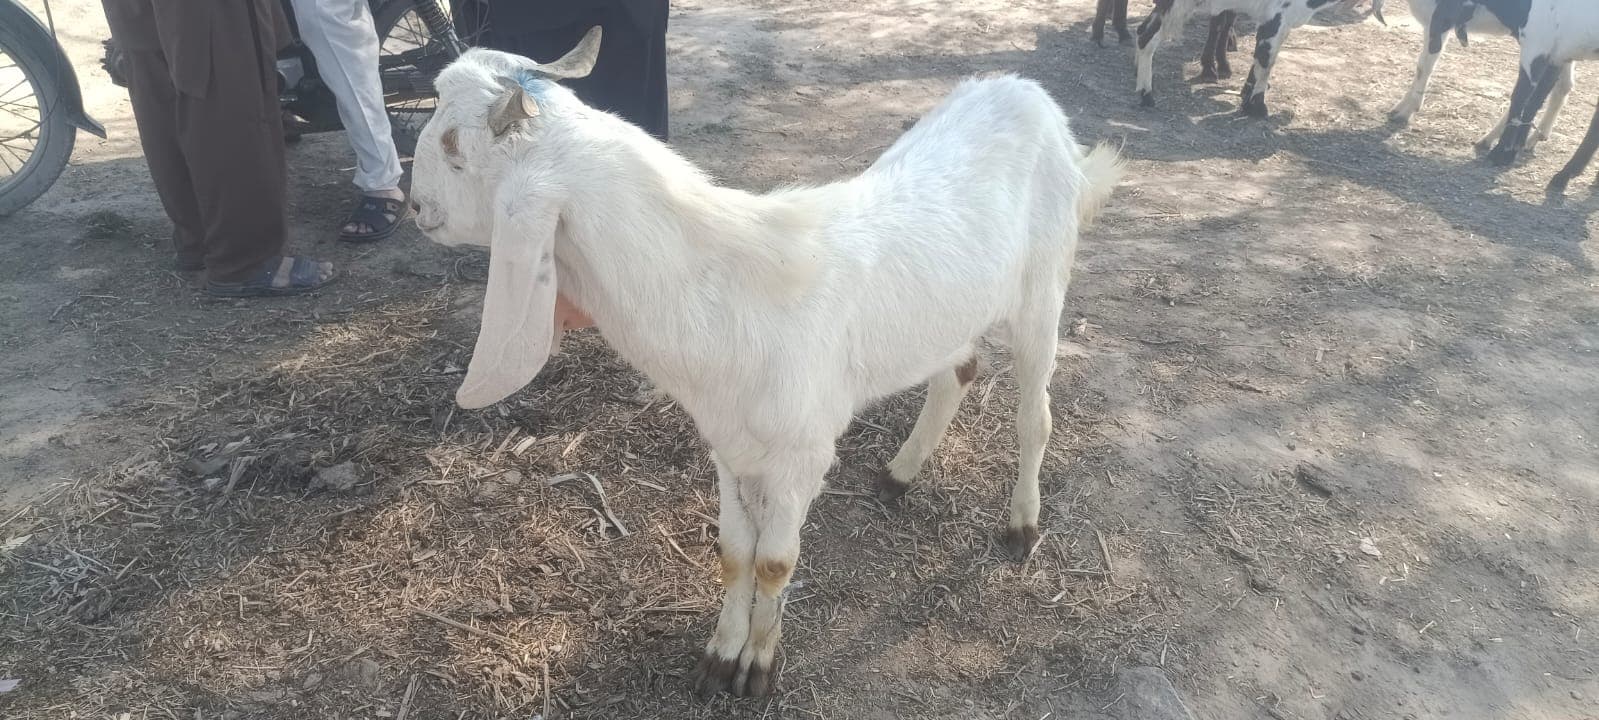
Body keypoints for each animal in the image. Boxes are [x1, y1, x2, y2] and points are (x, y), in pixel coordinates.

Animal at [410, 29, 1126, 697]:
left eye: (453, 145)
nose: (414, 206)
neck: (724, 293)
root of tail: (1029, 95)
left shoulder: (801, 455)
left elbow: (775, 563)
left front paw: (758, 664)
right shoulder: (729, 445)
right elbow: (734, 554)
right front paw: (719, 656)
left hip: (1042, 293)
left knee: (1035, 415)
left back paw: (1022, 524)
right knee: (957, 372)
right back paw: (900, 473)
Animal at [1134, 0, 1354, 116]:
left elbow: (1261, 58)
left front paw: (1247, 98)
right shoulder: (1277, 16)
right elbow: (1266, 62)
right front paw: (1257, 107)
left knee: (1143, 31)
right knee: (1147, 36)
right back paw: (1146, 95)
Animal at [1381, 0, 1576, 155]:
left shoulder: (1440, 19)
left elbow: (1424, 66)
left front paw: (1405, 112)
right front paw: (1399, 108)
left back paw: (1494, 140)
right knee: (1562, 86)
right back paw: (1533, 137)